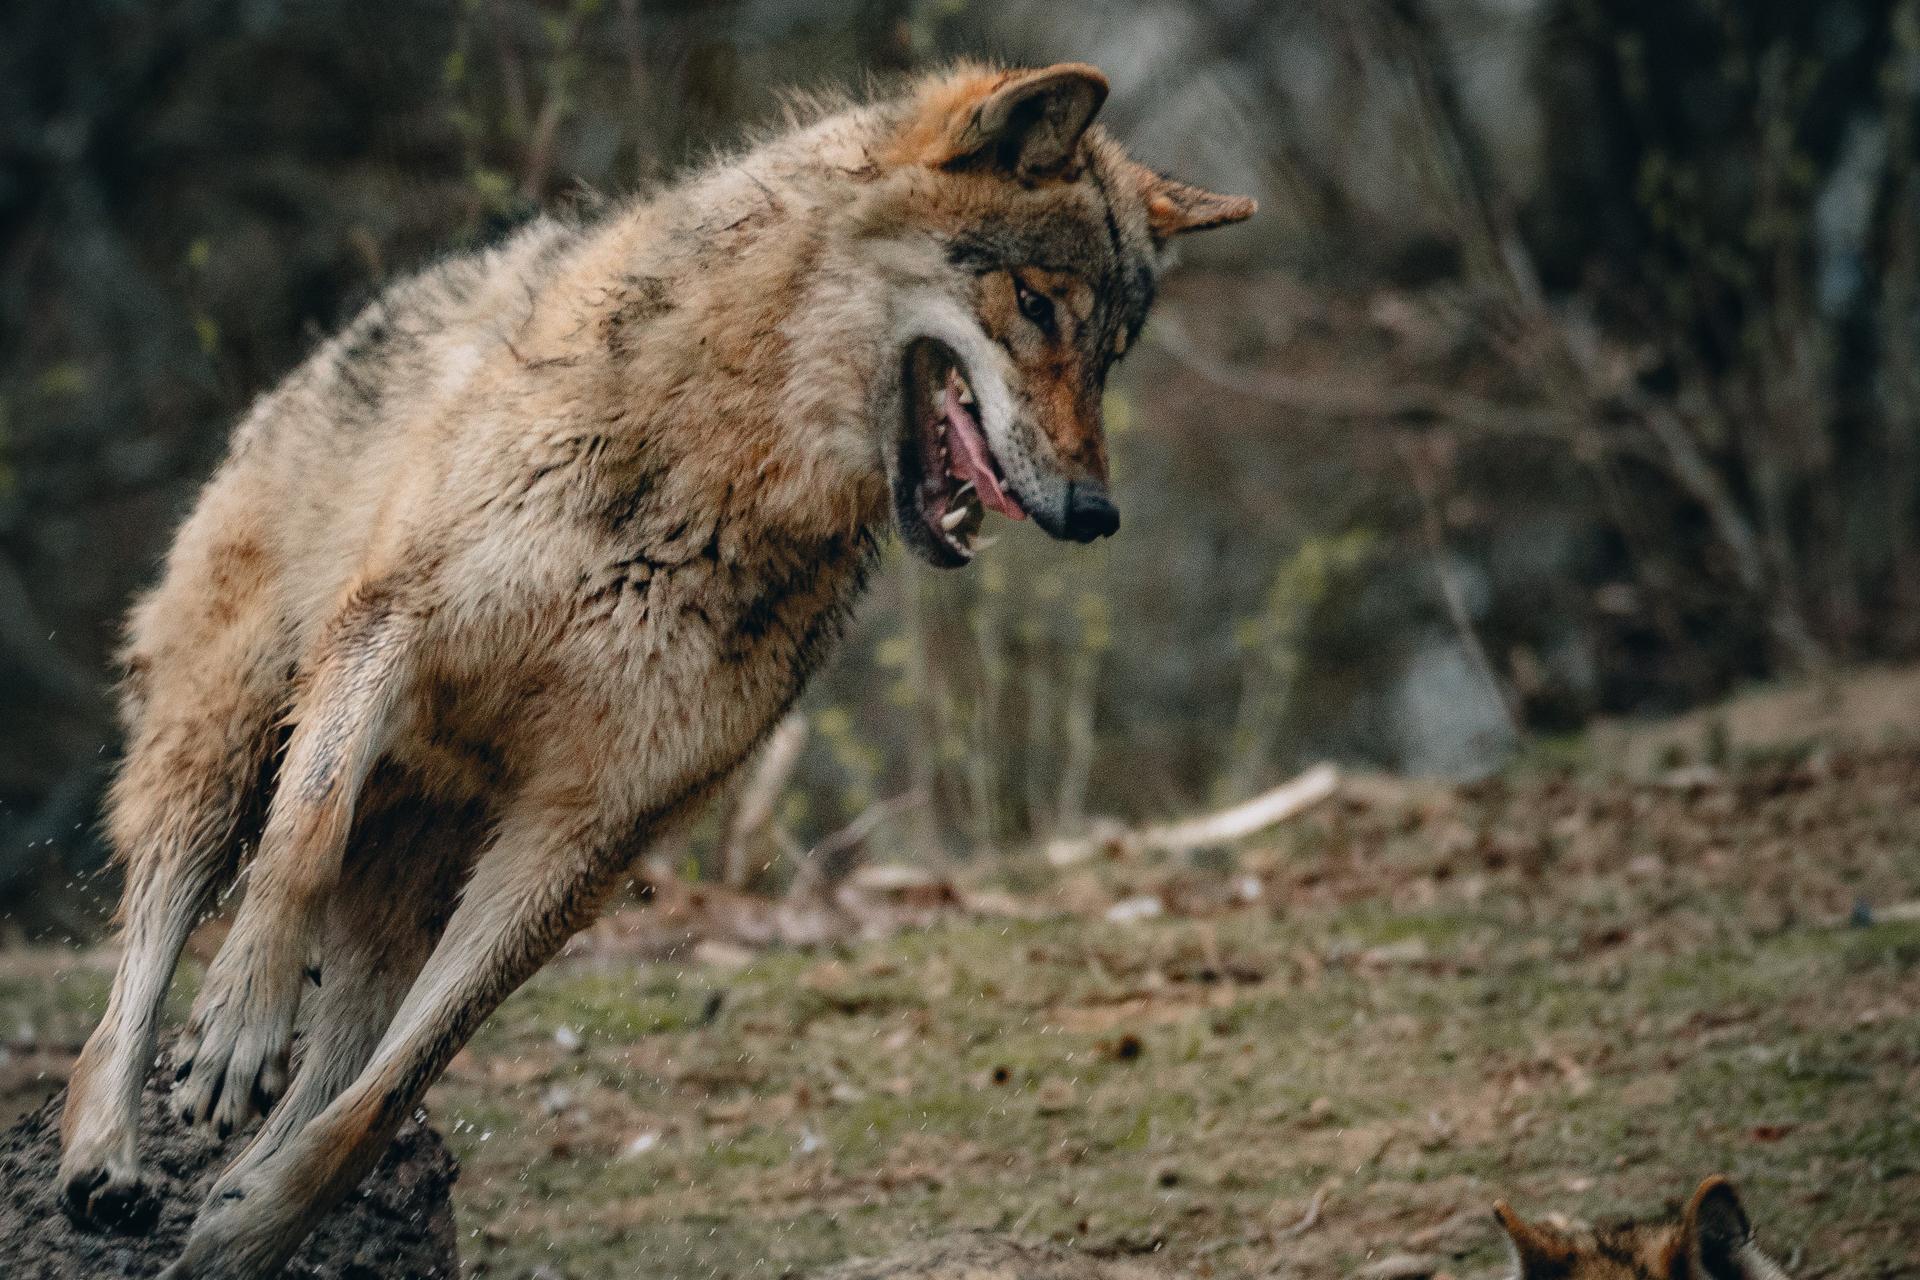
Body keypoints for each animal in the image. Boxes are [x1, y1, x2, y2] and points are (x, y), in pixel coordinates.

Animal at [48, 65, 1259, 1280]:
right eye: (1039, 305)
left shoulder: (591, 831)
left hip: (409, 892)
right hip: (225, 746)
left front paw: (251, 1226)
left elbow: (392, 1090)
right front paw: (239, 1027)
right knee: (135, 973)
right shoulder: (389, 629)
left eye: (1113, 354)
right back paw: (103, 1158)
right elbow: (301, 842)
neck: (711, 476)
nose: (1095, 513)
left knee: (343, 1056)